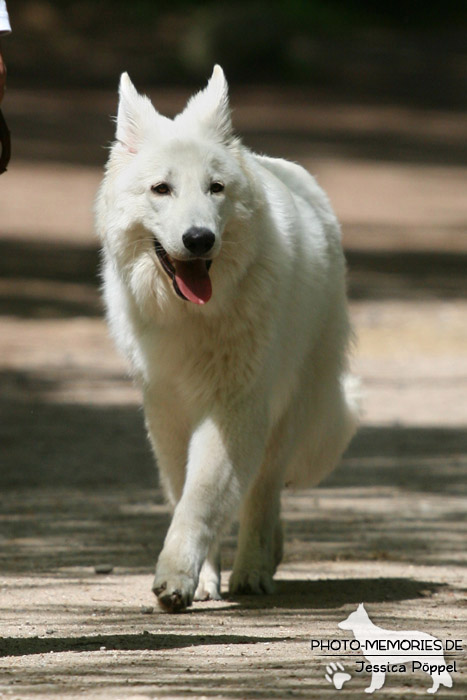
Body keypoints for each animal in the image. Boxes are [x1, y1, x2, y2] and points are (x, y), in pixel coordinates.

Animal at [94, 65, 358, 612]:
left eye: (215, 188)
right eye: (161, 189)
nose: (199, 239)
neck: (191, 317)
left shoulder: (234, 408)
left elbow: (201, 499)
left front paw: (176, 576)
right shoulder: (167, 411)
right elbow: (183, 491)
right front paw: (201, 580)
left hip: (285, 415)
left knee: (262, 493)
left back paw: (255, 569)